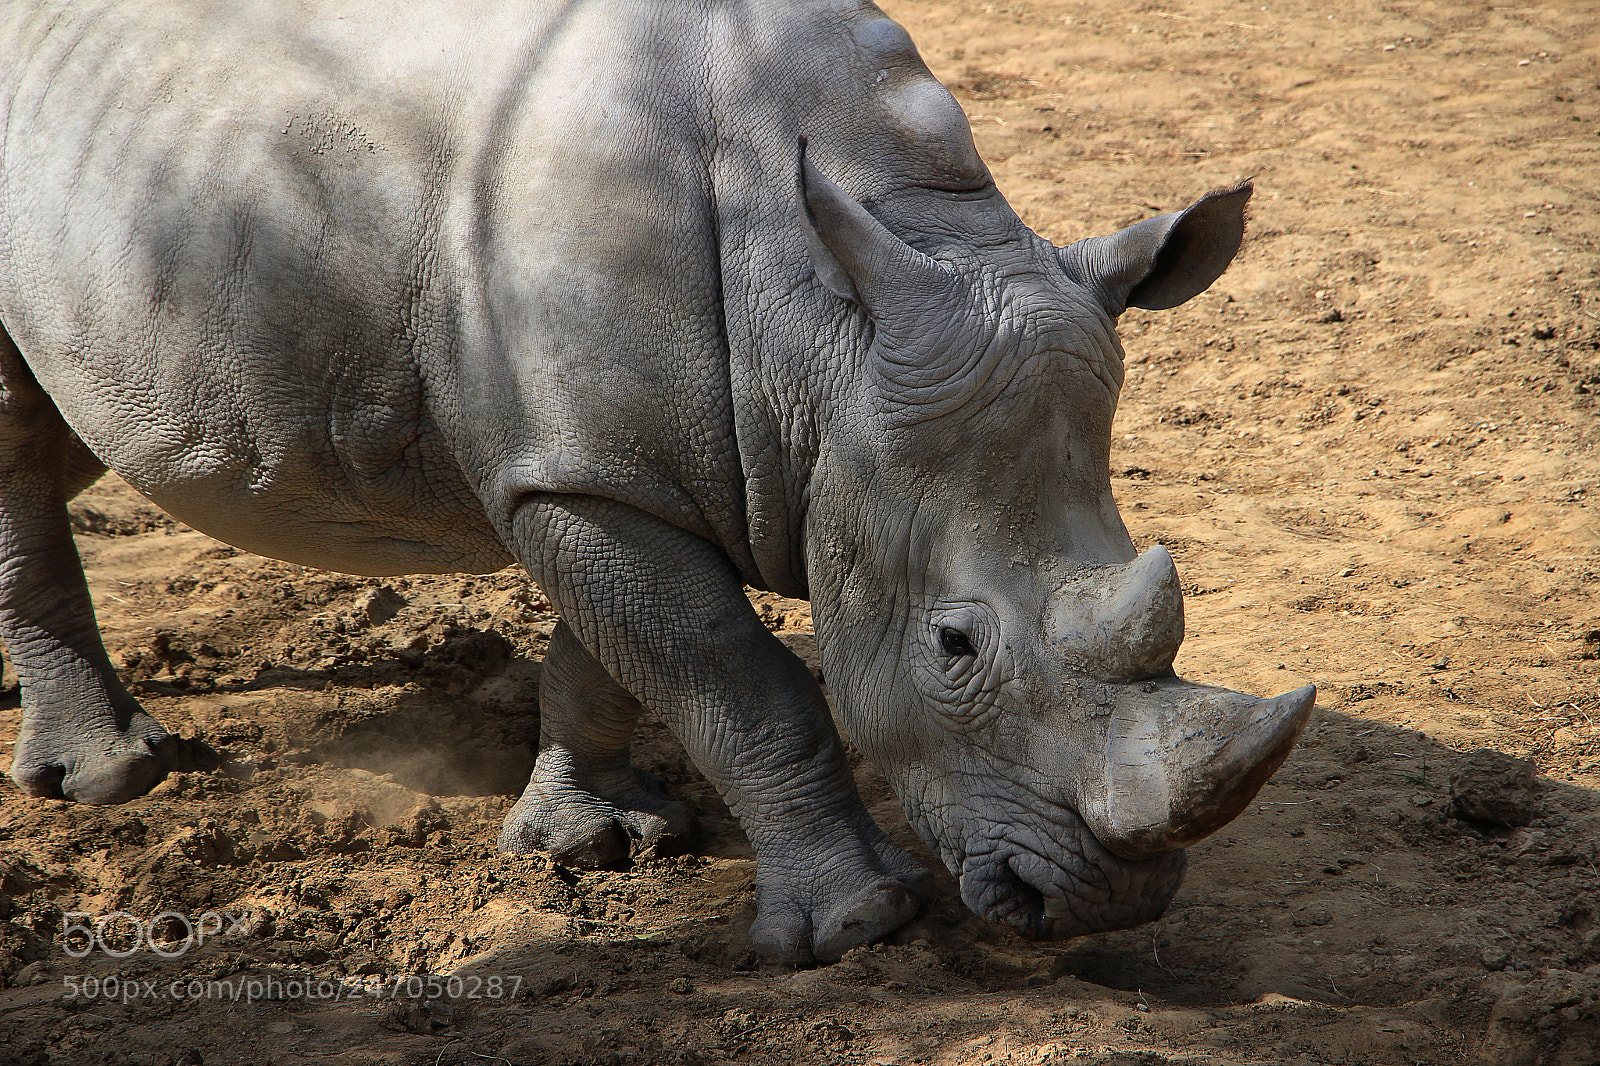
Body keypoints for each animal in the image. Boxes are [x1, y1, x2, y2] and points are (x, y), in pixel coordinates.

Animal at [0, 0, 1315, 962]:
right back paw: (111, 777)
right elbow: (740, 682)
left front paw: (591, 841)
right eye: (952, 646)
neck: (828, 320)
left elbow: (618, 655)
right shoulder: (586, 479)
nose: (1108, 908)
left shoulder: (604, 467)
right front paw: (853, 925)